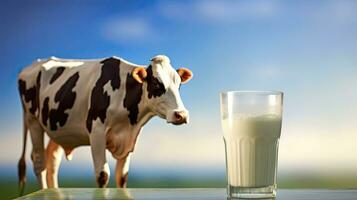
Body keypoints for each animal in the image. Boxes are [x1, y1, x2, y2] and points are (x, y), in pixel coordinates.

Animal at [17, 54, 192, 194]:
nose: (181, 115)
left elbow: (122, 177)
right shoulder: (96, 131)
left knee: (52, 161)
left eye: (179, 85)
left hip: (58, 129)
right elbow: (102, 176)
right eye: (156, 83)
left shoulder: (129, 137)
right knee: (39, 161)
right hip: (32, 120)